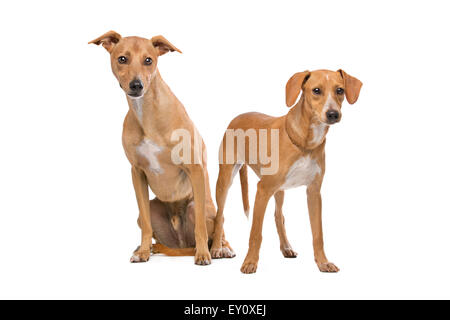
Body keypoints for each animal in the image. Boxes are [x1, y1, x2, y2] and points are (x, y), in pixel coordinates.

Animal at [89, 31, 236, 264]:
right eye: (122, 59)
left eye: (149, 60)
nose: (137, 85)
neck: (148, 113)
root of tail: (182, 244)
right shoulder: (137, 173)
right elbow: (146, 225)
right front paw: (142, 252)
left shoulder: (195, 168)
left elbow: (201, 228)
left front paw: (203, 255)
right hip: (150, 210)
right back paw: (150, 247)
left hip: (201, 208)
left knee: (216, 228)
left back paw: (218, 249)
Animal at [214, 69, 362, 272]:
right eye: (316, 90)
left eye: (340, 90)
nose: (333, 114)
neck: (305, 143)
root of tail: (237, 117)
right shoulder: (262, 190)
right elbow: (255, 233)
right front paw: (250, 262)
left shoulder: (314, 192)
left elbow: (318, 234)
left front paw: (323, 262)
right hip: (225, 181)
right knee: (219, 215)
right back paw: (216, 249)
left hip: (280, 191)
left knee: (279, 216)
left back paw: (286, 247)